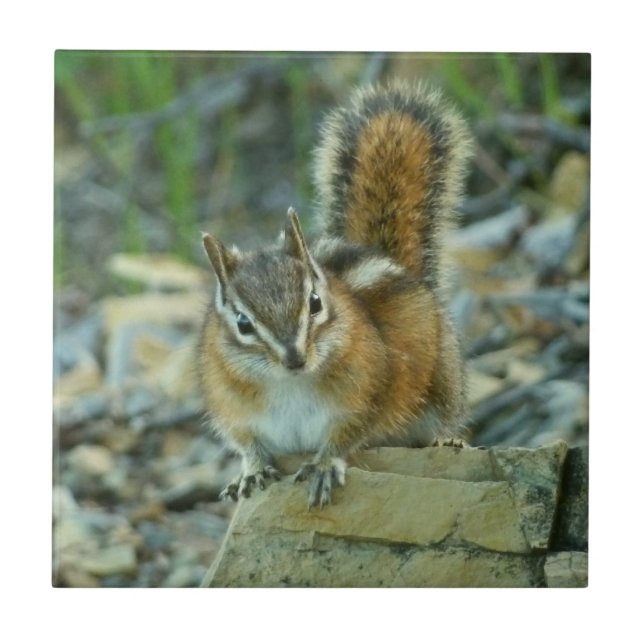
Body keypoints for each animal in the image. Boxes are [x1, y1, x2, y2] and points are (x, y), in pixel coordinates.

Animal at [198, 81, 472, 509]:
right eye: (243, 323)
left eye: (314, 303)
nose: (294, 358)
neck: (289, 385)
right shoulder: (233, 409)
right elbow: (247, 444)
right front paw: (251, 471)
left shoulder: (366, 395)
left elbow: (346, 435)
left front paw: (325, 464)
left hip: (444, 378)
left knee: (448, 415)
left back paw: (448, 439)